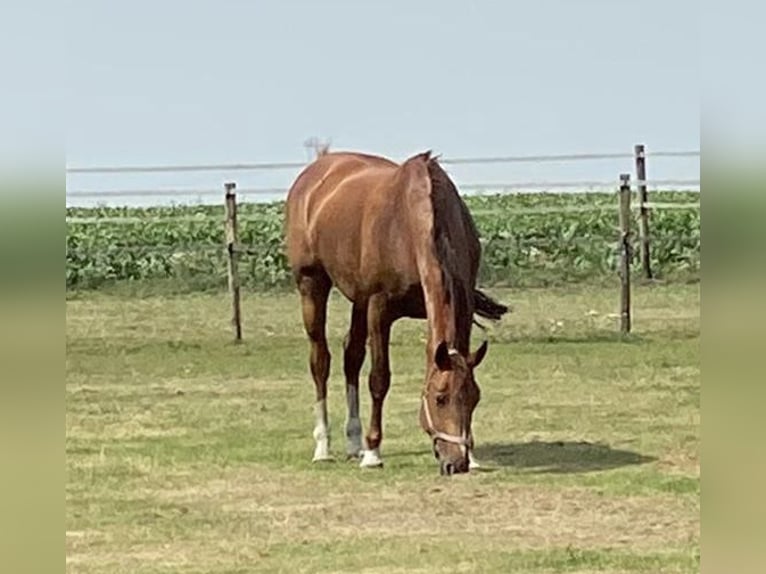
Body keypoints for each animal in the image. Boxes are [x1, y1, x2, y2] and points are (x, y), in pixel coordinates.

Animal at [284, 148, 508, 476]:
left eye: (475, 397)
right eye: (440, 398)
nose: (456, 463)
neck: (410, 223)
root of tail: (319, 167)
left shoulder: (463, 306)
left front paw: (475, 455)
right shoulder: (380, 309)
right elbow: (379, 379)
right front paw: (373, 452)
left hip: (358, 300)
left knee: (351, 356)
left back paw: (353, 441)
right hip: (312, 285)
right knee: (320, 361)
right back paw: (324, 446)